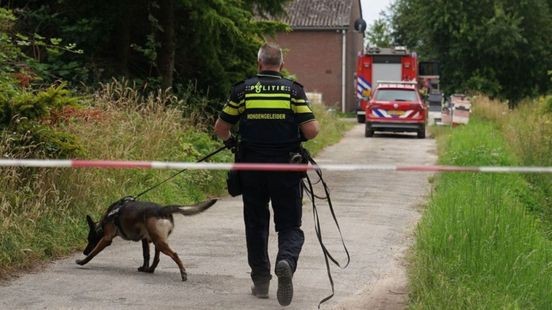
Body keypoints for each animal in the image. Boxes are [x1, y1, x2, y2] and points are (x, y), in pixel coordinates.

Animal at [75, 197, 216, 282]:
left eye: (89, 239)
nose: (84, 252)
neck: (108, 217)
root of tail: (162, 209)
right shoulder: (144, 239)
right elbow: (146, 255)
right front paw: (144, 268)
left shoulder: (106, 239)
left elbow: (94, 253)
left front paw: (82, 261)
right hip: (157, 240)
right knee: (157, 258)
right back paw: (150, 270)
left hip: (159, 241)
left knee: (174, 254)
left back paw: (183, 273)